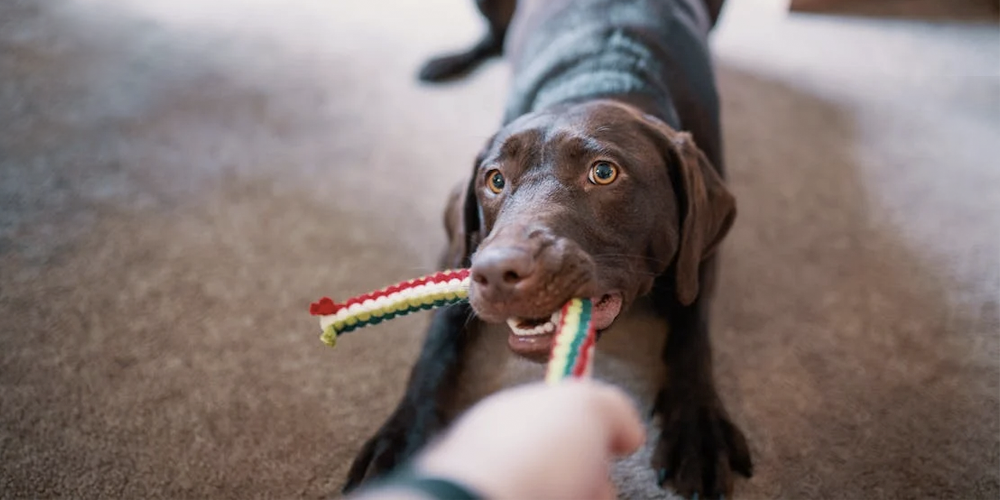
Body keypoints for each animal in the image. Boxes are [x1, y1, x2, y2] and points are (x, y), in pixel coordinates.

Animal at [344, 0, 752, 498]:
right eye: (495, 179)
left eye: (604, 172)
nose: (497, 273)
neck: (601, 76)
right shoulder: (464, 252)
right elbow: (437, 341)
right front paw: (402, 438)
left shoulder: (700, 255)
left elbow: (692, 330)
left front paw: (697, 427)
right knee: (492, 39)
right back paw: (448, 62)